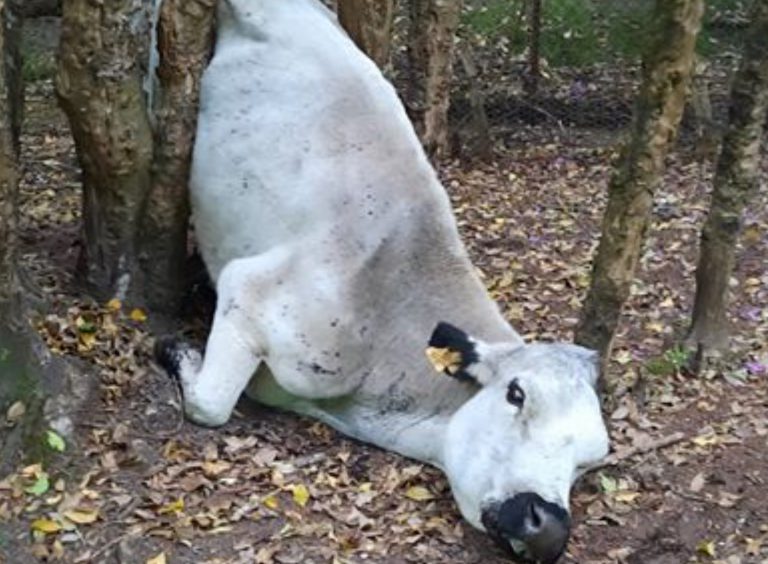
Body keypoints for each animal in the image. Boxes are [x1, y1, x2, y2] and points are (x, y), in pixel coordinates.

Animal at [155, 0, 610, 562]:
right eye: (517, 394)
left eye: (590, 460)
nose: (546, 524)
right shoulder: (253, 290)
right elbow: (210, 404)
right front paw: (178, 350)